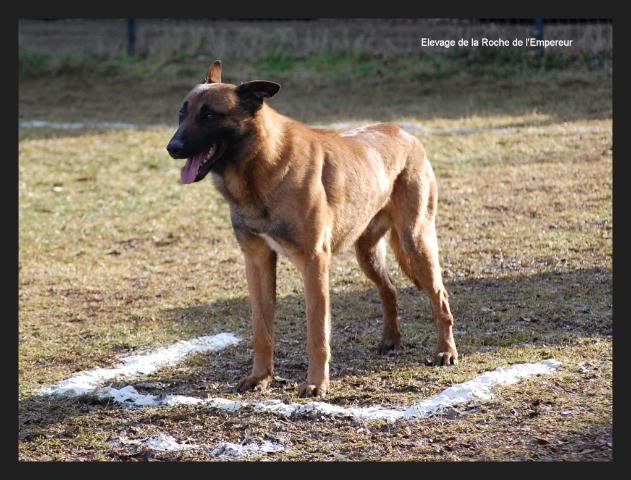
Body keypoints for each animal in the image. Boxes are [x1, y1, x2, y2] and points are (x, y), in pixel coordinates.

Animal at [165, 60, 456, 398]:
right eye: (182, 112)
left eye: (210, 115)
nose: (172, 147)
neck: (262, 166)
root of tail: (405, 133)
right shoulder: (258, 262)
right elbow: (261, 330)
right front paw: (260, 377)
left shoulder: (314, 263)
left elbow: (317, 334)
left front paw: (316, 383)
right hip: (367, 255)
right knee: (390, 290)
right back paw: (390, 340)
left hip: (416, 242)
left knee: (440, 295)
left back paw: (446, 351)